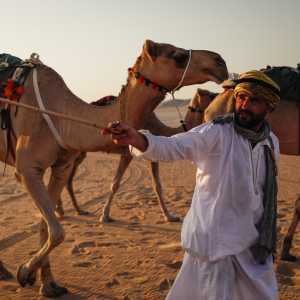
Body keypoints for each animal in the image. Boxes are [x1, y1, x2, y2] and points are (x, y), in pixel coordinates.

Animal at [55, 88, 217, 221]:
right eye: (209, 94)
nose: (218, 93)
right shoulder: (128, 152)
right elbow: (115, 184)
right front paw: (105, 216)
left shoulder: (152, 155)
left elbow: (157, 186)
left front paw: (169, 216)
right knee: (65, 175)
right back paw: (64, 210)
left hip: (79, 151)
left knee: (66, 177)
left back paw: (73, 210)